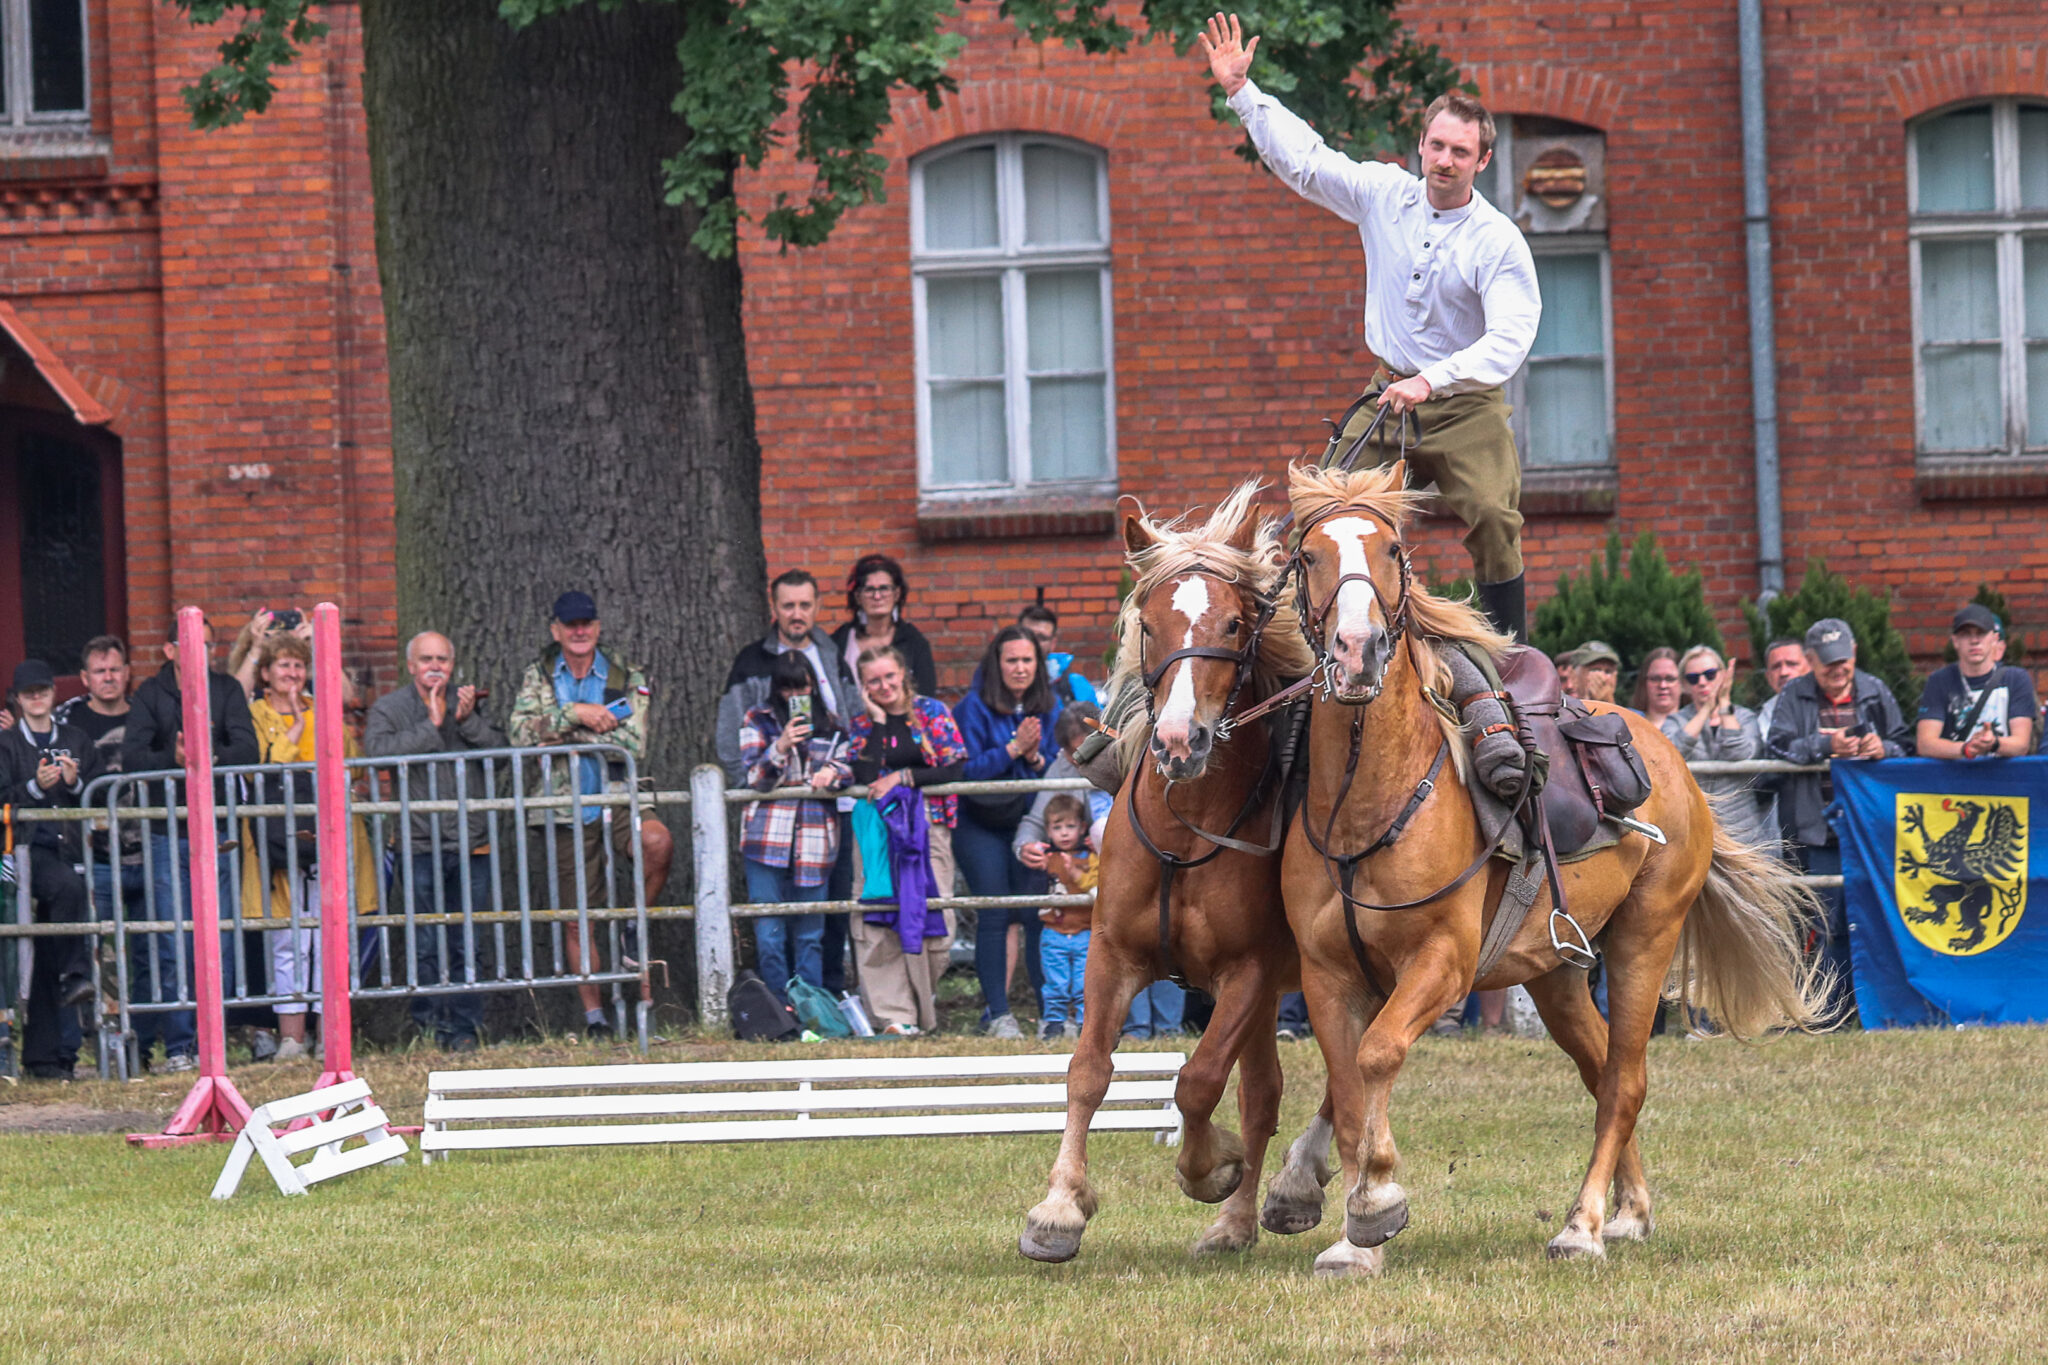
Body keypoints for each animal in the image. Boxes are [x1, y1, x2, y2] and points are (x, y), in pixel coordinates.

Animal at [1015, 482, 1335, 1268]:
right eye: (1151, 627)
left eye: (1234, 621)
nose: (1178, 742)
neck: (1186, 824)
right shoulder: (1111, 956)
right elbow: (1088, 1071)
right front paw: (1059, 1208)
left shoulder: (1247, 974)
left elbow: (1197, 1082)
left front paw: (1209, 1167)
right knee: (1265, 1092)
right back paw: (1237, 1224)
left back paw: (1290, 1186)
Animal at [1277, 462, 1826, 1285]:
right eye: (1308, 555)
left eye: (1392, 551)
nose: (1356, 648)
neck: (1367, 801)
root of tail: (1672, 760)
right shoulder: (1327, 973)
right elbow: (1346, 1088)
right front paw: (1354, 1236)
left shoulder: (1442, 962)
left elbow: (1376, 1056)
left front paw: (1375, 1203)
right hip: (1556, 971)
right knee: (1601, 1072)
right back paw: (1630, 1210)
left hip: (1642, 942)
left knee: (1625, 1078)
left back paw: (1585, 1224)